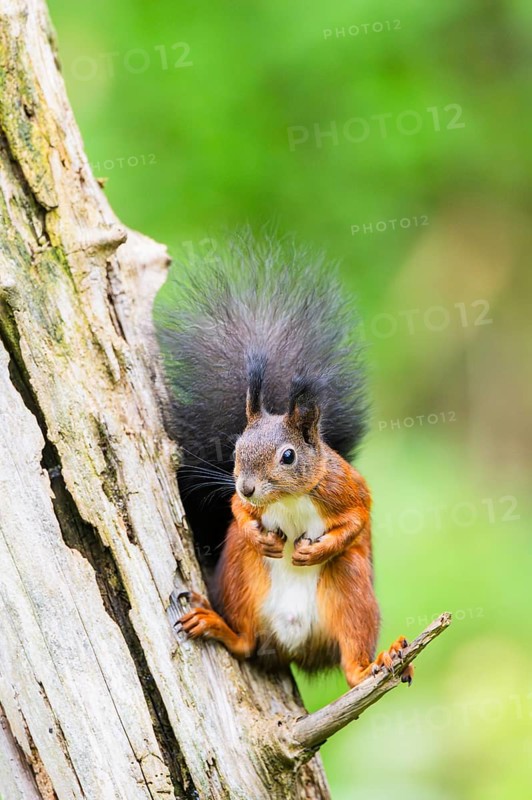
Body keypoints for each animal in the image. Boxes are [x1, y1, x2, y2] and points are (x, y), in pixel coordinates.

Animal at [158, 231, 413, 688]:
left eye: (288, 456)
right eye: (236, 449)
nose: (248, 486)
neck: (288, 499)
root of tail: (293, 646)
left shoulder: (345, 487)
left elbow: (358, 517)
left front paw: (316, 549)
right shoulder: (242, 500)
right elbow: (237, 511)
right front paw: (257, 530)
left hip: (351, 590)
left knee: (352, 667)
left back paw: (379, 660)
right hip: (240, 574)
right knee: (244, 642)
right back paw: (216, 623)